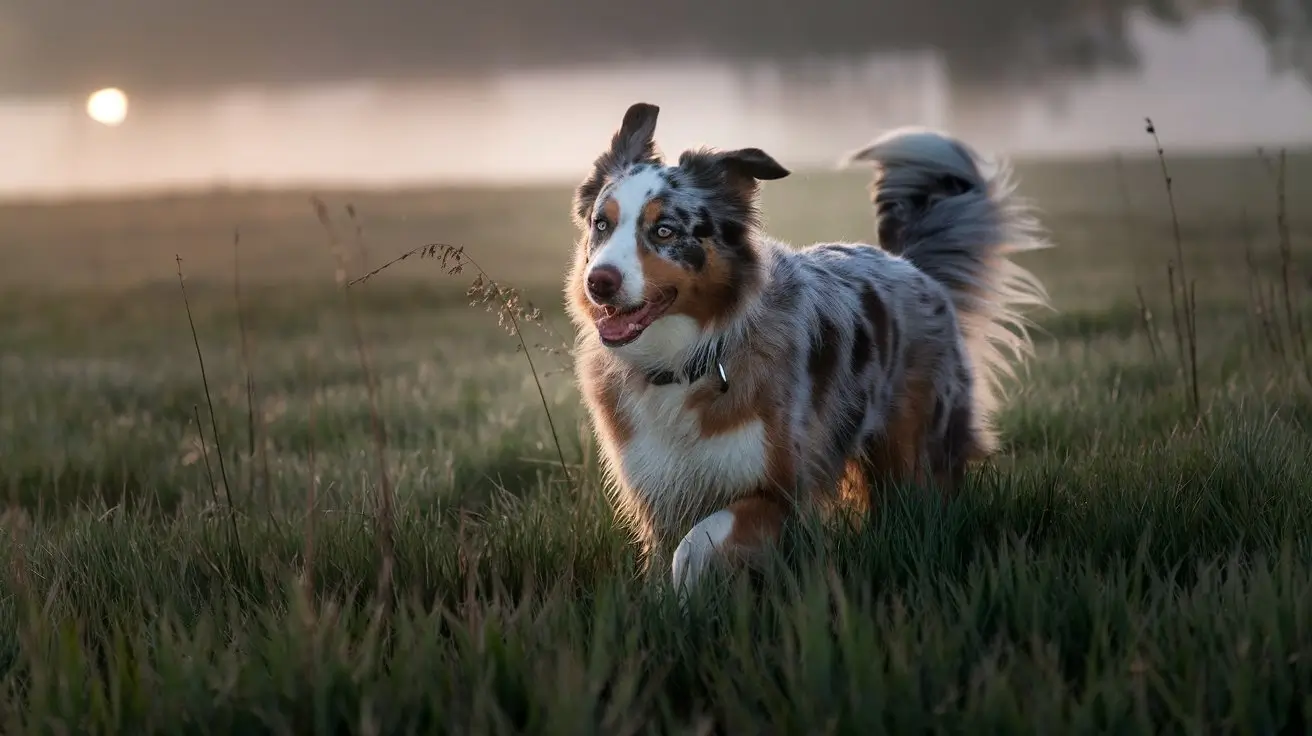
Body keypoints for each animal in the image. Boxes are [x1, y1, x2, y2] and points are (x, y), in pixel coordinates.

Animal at [561, 101, 1044, 590]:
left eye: (663, 231)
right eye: (602, 225)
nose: (598, 283)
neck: (683, 362)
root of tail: (910, 265)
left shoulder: (781, 490)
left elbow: (696, 544)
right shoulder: (658, 490)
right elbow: (668, 556)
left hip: (916, 450)